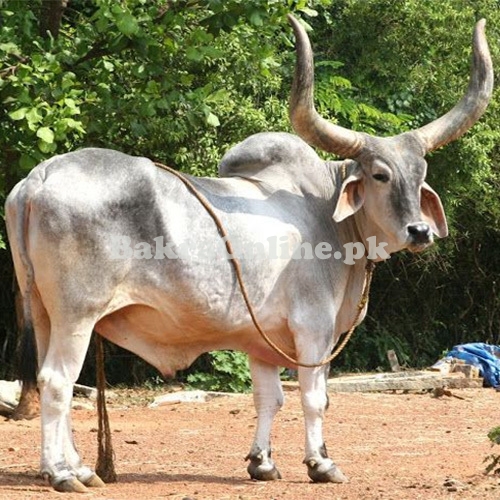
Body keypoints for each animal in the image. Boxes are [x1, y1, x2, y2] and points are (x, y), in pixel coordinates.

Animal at [3, 14, 494, 492]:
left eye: (421, 174)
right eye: (379, 174)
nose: (419, 230)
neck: (326, 213)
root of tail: (37, 180)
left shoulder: (262, 338)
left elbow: (268, 397)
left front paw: (262, 462)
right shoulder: (313, 328)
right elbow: (314, 398)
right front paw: (321, 462)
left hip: (44, 312)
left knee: (53, 382)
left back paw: (78, 467)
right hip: (77, 315)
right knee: (56, 382)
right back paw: (62, 473)